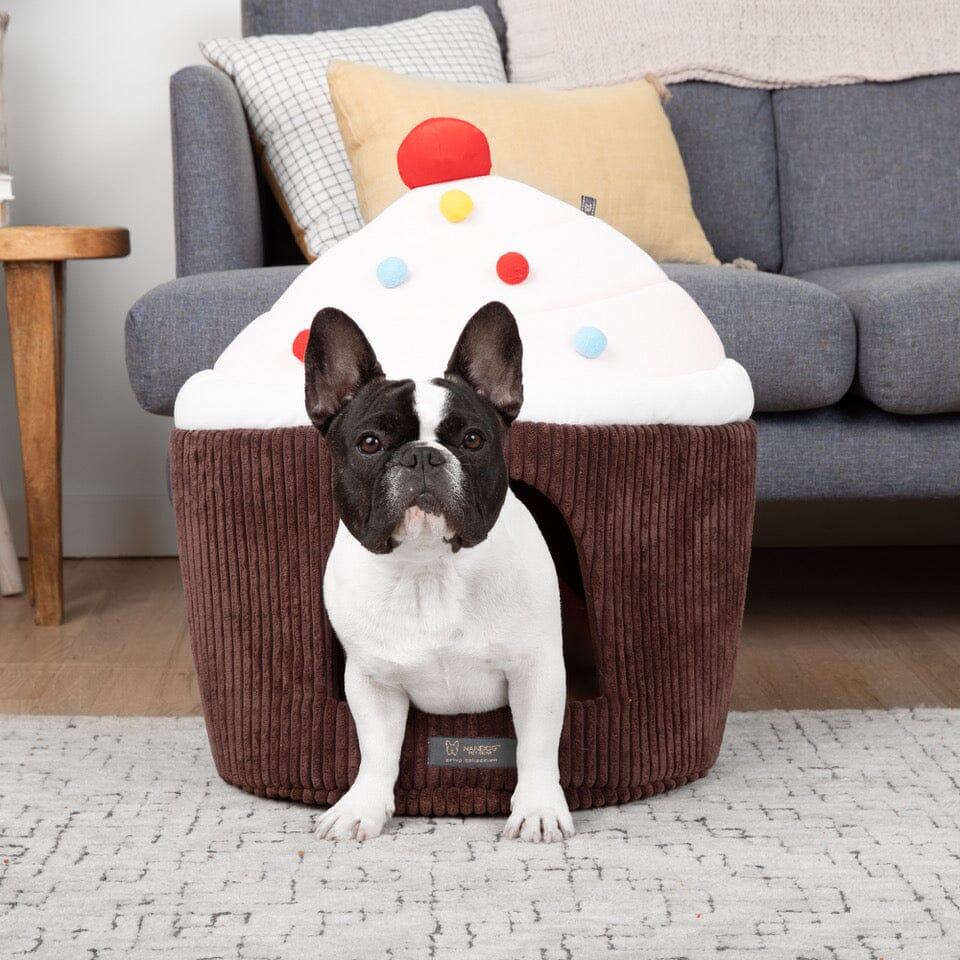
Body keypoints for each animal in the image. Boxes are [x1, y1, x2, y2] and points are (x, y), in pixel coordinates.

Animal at [304, 300, 572, 840]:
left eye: (472, 439)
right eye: (370, 442)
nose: (423, 455)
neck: (427, 569)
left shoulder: (537, 671)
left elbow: (537, 744)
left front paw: (537, 808)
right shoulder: (373, 681)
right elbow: (376, 750)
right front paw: (361, 806)